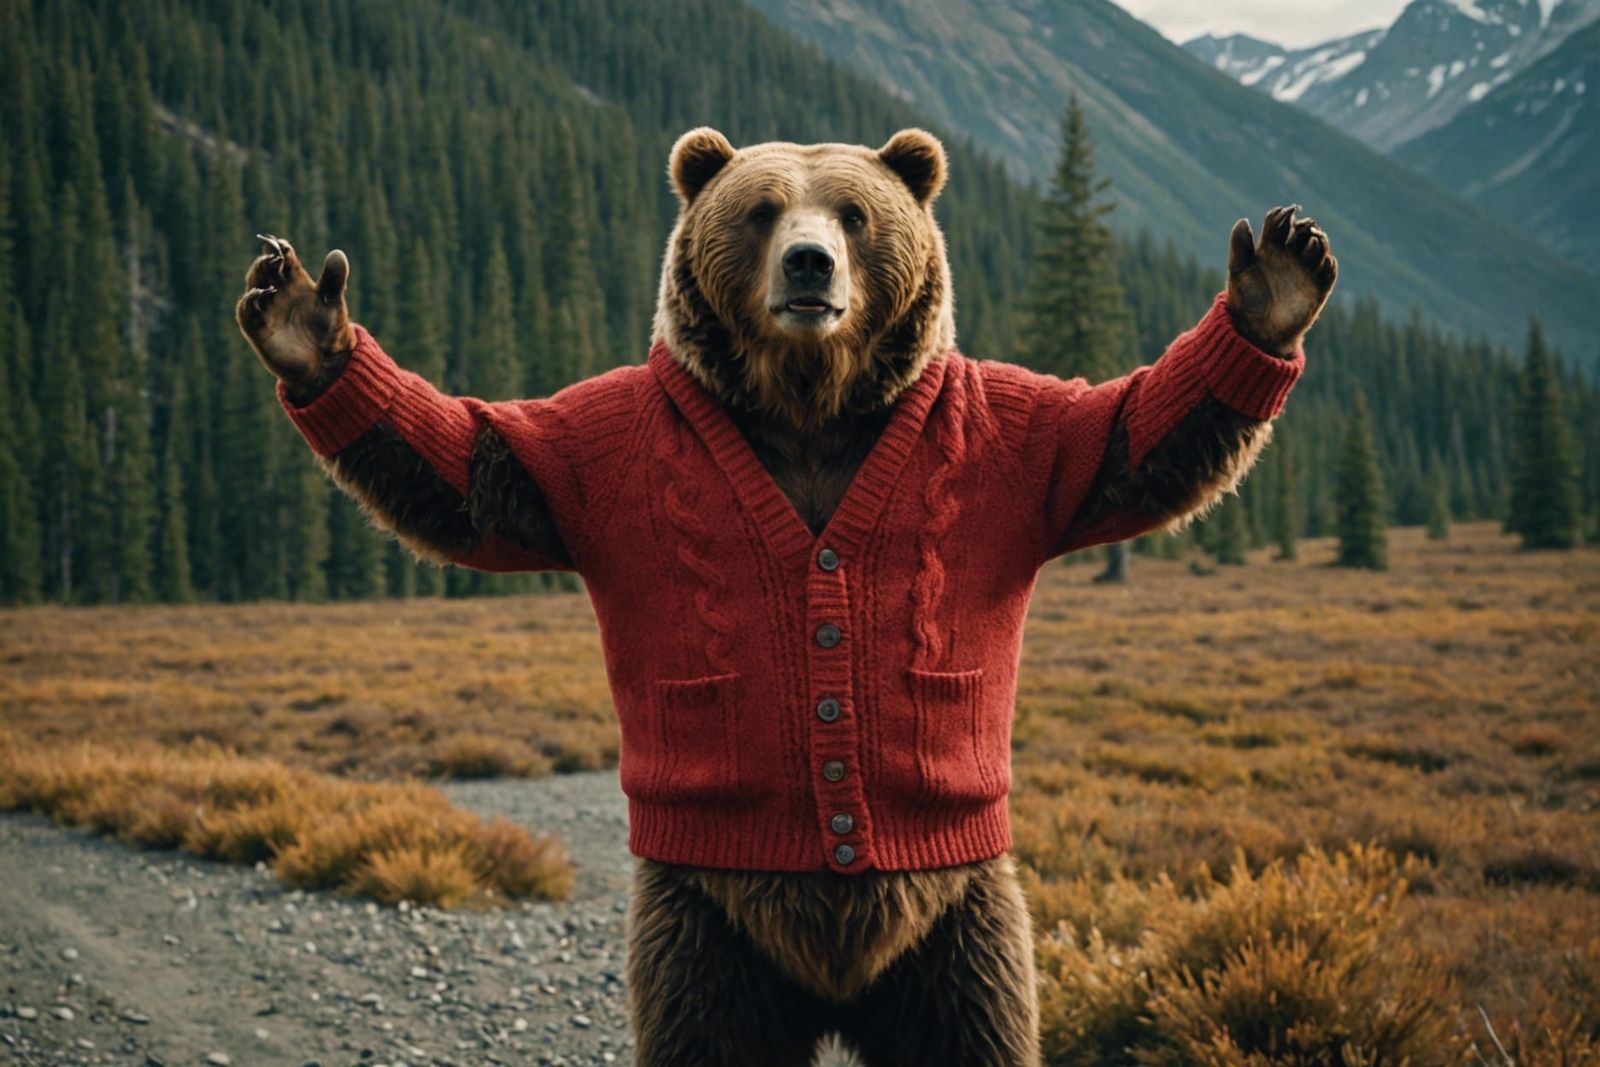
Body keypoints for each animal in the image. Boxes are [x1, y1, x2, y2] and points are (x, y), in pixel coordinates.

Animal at [236, 126, 1335, 1066]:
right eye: (763, 210)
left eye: (853, 212)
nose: (810, 264)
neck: (809, 401)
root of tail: (837, 983)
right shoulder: (603, 451)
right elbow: (474, 469)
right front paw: (306, 325)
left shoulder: (1003, 444)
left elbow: (1124, 440)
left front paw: (1274, 284)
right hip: (705, 922)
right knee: (707, 1026)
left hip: (957, 919)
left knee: (974, 1021)